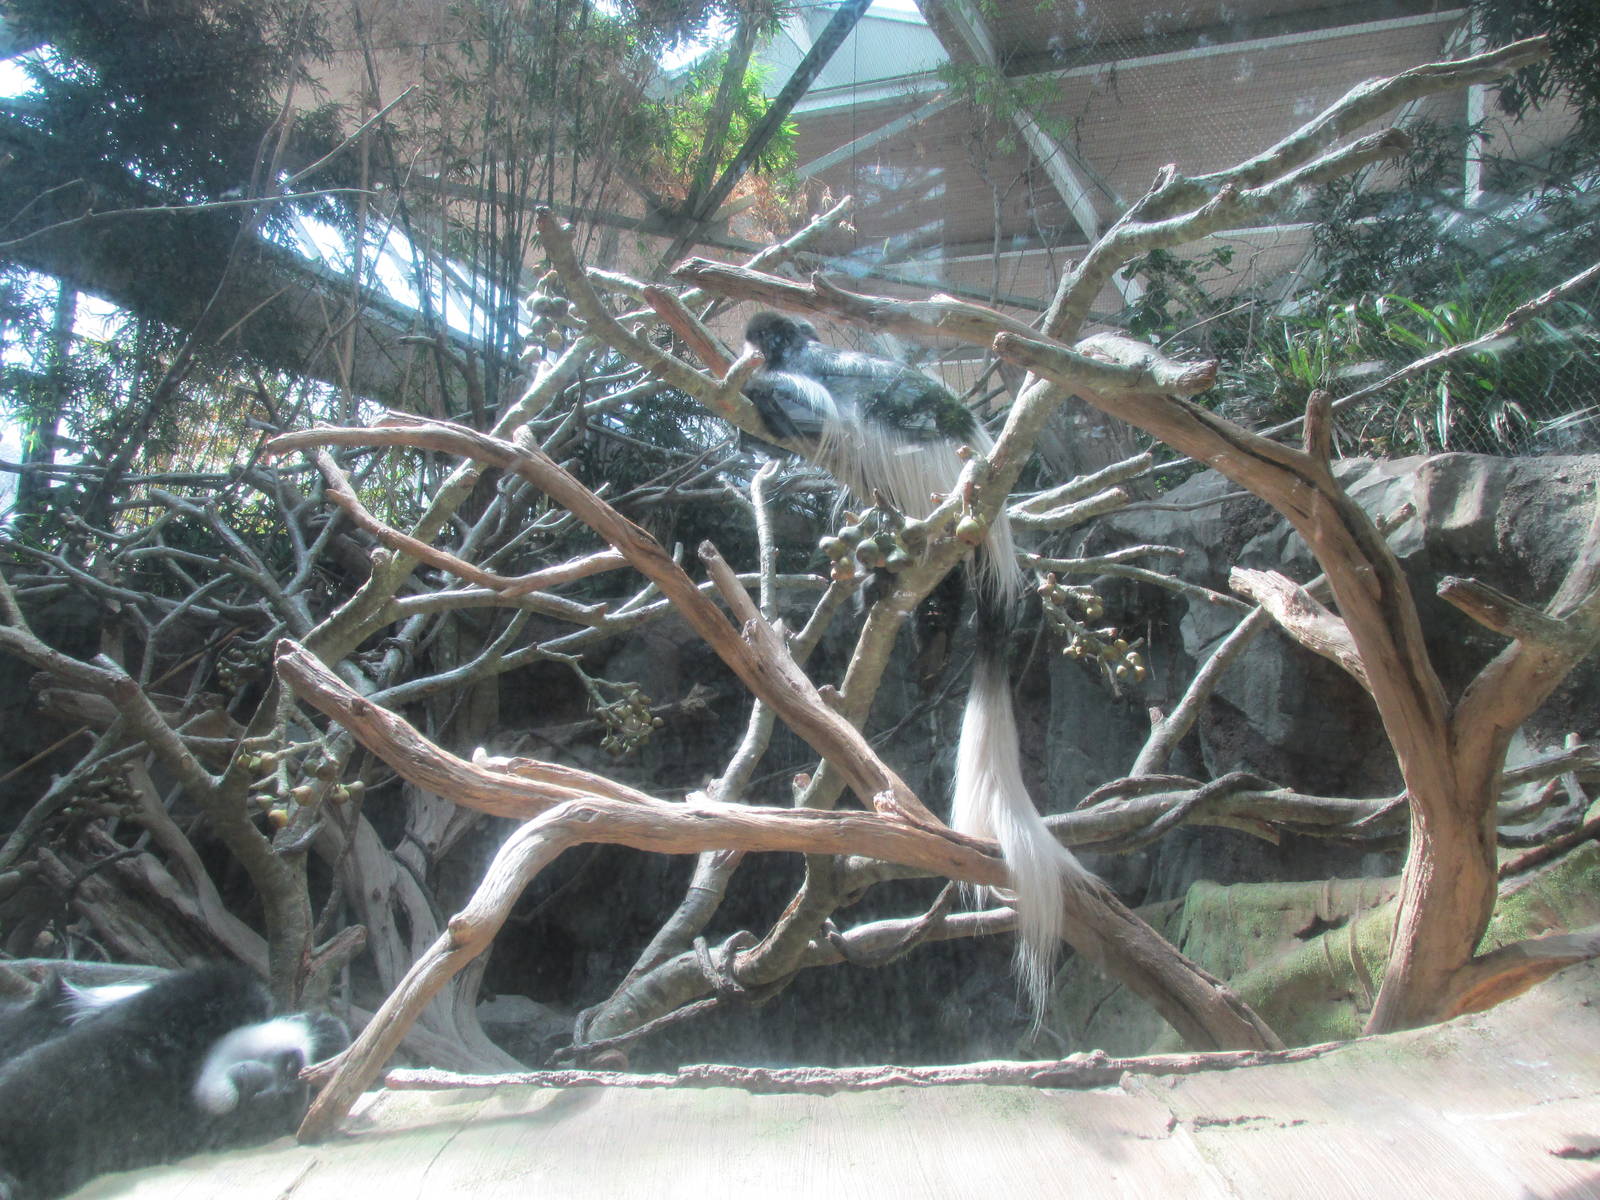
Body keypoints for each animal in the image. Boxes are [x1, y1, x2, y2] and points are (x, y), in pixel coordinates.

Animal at [743, 311, 1092, 1017]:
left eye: (768, 347)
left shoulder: (812, 374)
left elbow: (807, 406)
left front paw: (765, 404)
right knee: (939, 584)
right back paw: (924, 640)